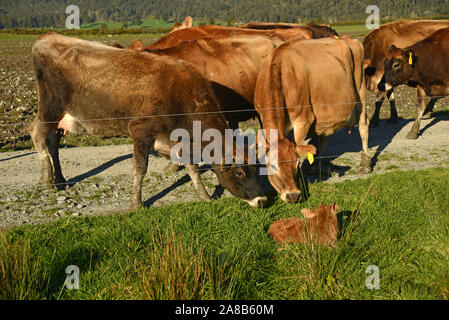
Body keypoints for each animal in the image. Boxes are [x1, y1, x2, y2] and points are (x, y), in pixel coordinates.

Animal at [30, 33, 266, 210]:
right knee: (37, 134)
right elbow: (140, 168)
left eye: (257, 169)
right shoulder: (140, 130)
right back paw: (47, 179)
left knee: (52, 142)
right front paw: (136, 202)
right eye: (239, 172)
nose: (262, 200)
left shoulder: (180, 139)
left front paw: (204, 196)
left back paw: (60, 179)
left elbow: (192, 168)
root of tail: (47, 38)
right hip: (50, 107)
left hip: (59, 118)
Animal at [254, 37, 370, 202]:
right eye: (274, 166)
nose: (293, 195)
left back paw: (365, 163)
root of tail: (347, 38)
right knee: (326, 134)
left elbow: (299, 145)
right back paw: (316, 165)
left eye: (296, 164)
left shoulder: (304, 120)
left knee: (363, 125)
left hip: (360, 91)